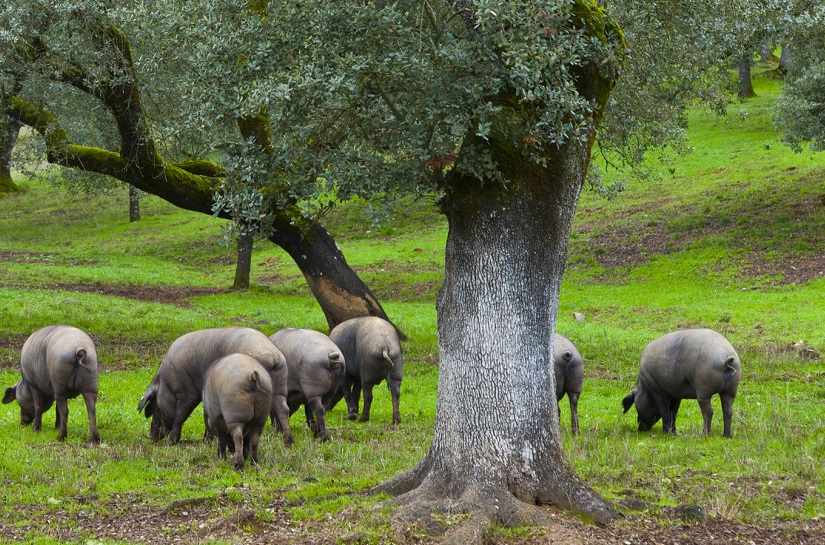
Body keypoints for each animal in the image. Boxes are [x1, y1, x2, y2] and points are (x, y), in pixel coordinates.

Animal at [134, 328, 292, 446]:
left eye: (154, 405)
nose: (151, 436)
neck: (166, 383)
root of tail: (272, 356)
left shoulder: (187, 393)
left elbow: (180, 416)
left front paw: (172, 443)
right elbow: (206, 415)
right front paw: (206, 441)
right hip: (279, 389)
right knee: (283, 409)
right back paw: (288, 441)